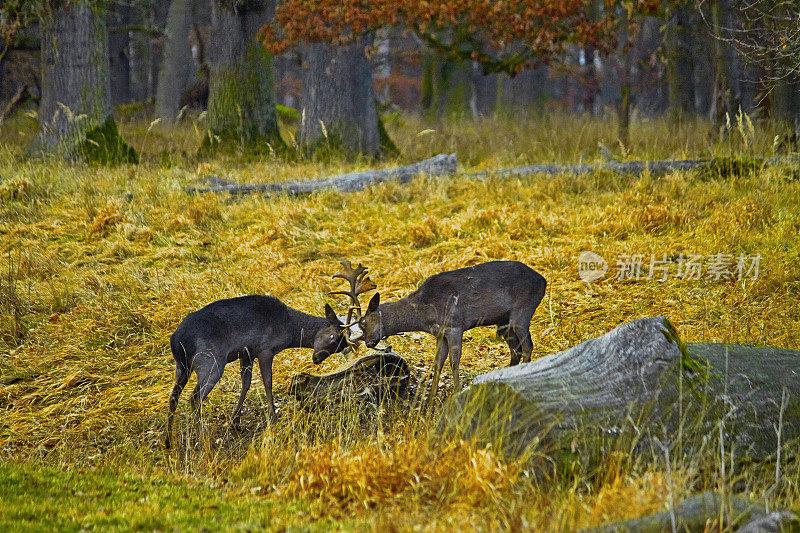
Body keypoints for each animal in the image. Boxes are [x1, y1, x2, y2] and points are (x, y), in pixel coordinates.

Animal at [166, 294, 350, 446]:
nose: (317, 359)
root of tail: (177, 340)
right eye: (333, 337)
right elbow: (267, 381)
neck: (289, 329)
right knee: (195, 397)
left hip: (182, 366)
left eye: (339, 346)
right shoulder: (265, 349)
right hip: (210, 361)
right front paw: (273, 417)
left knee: (174, 396)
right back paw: (202, 440)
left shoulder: (246, 354)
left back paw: (169, 441)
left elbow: (246, 384)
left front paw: (235, 421)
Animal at [358, 262, 552, 408]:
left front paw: (457, 394)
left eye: (362, 323)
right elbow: (438, 363)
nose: (368, 343)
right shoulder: (440, 334)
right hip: (504, 321)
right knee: (515, 350)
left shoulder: (455, 326)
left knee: (527, 346)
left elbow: (453, 362)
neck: (424, 312)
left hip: (523, 310)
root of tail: (543, 281)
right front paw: (430, 401)